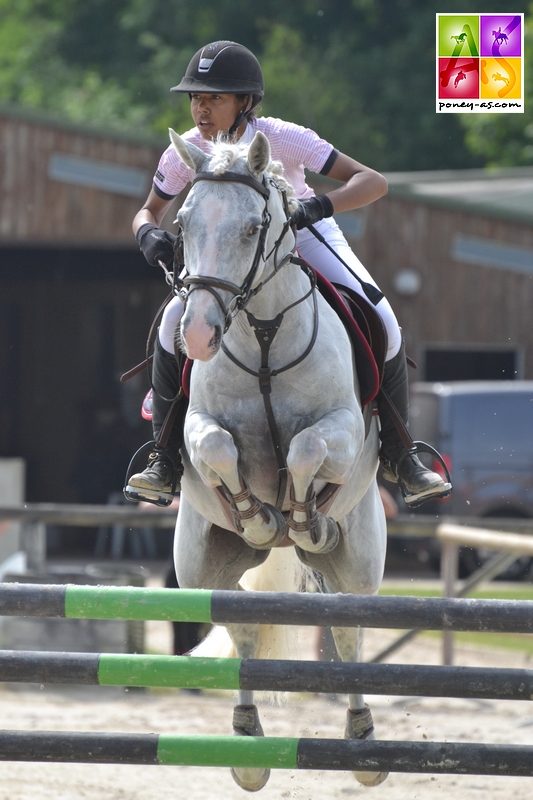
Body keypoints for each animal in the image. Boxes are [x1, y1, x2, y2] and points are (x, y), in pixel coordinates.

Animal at [170, 128, 386, 792]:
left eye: (250, 229)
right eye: (182, 223)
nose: (198, 336)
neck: (263, 333)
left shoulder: (343, 427)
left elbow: (306, 446)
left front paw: (300, 512)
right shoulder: (198, 427)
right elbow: (217, 446)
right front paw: (261, 514)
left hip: (359, 561)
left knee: (349, 630)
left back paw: (362, 742)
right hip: (200, 567)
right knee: (239, 622)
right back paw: (246, 745)